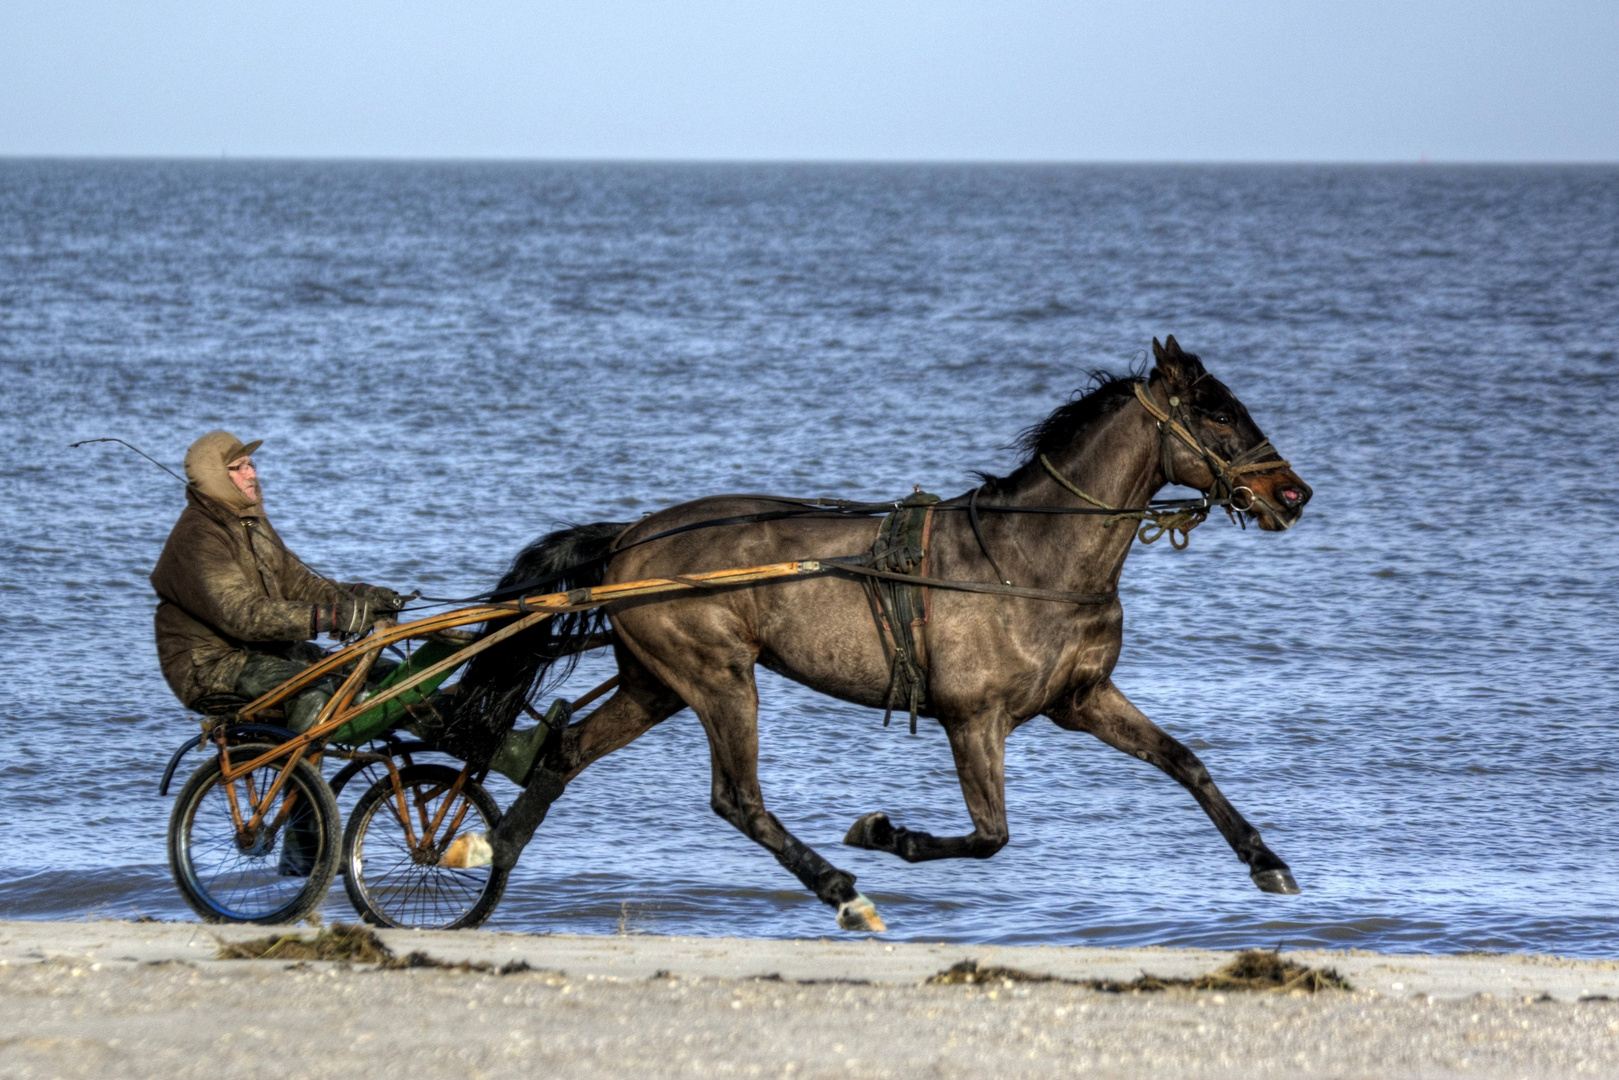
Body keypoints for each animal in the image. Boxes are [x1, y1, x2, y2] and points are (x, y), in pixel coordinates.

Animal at [459, 335, 1314, 932]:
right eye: (1215, 412)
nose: (1292, 493)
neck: (1026, 560)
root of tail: (630, 538)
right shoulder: (973, 719)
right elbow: (990, 835)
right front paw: (880, 832)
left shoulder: (1083, 697)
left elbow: (1184, 762)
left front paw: (1266, 861)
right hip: (717, 678)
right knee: (737, 799)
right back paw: (842, 892)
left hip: (655, 684)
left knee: (566, 754)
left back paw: (488, 859)